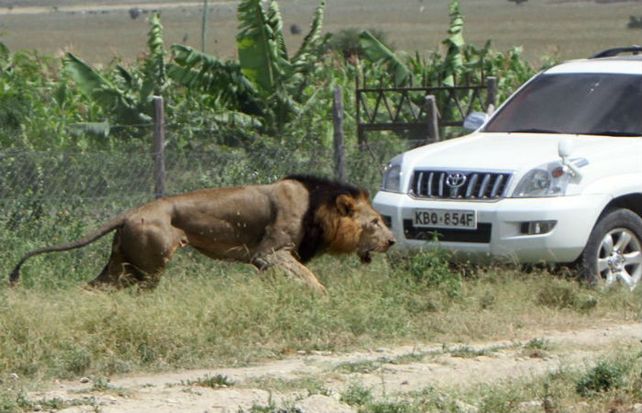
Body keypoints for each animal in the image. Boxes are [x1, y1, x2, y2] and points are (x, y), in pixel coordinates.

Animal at [9, 175, 395, 293]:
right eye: (375, 222)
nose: (392, 241)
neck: (317, 209)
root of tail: (132, 211)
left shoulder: (268, 262)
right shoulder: (269, 253)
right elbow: (311, 279)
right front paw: (323, 299)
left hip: (123, 264)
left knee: (91, 288)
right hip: (148, 266)